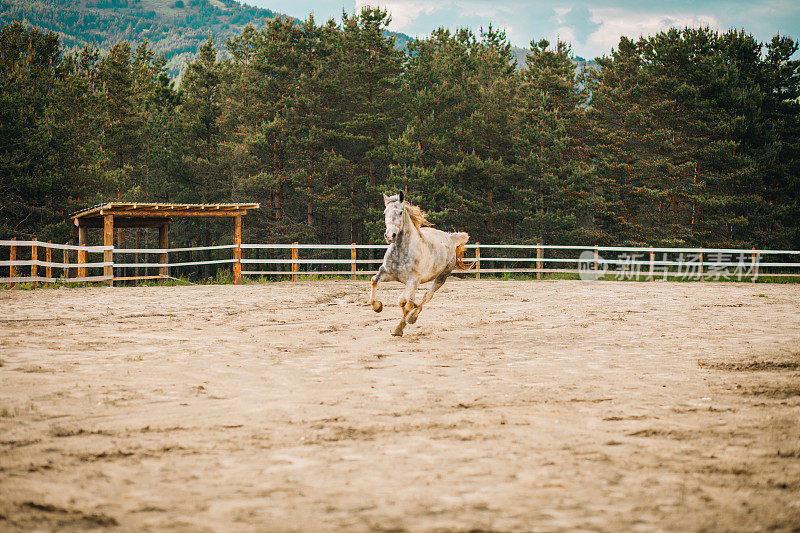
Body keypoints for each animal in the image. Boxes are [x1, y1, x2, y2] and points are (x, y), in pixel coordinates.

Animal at [370, 190, 476, 332]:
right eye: (384, 212)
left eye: (400, 212)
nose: (390, 236)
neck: (402, 251)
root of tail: (450, 238)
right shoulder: (386, 273)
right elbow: (374, 280)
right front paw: (378, 306)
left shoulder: (413, 280)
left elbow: (402, 301)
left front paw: (401, 324)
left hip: (441, 277)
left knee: (427, 296)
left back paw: (412, 317)